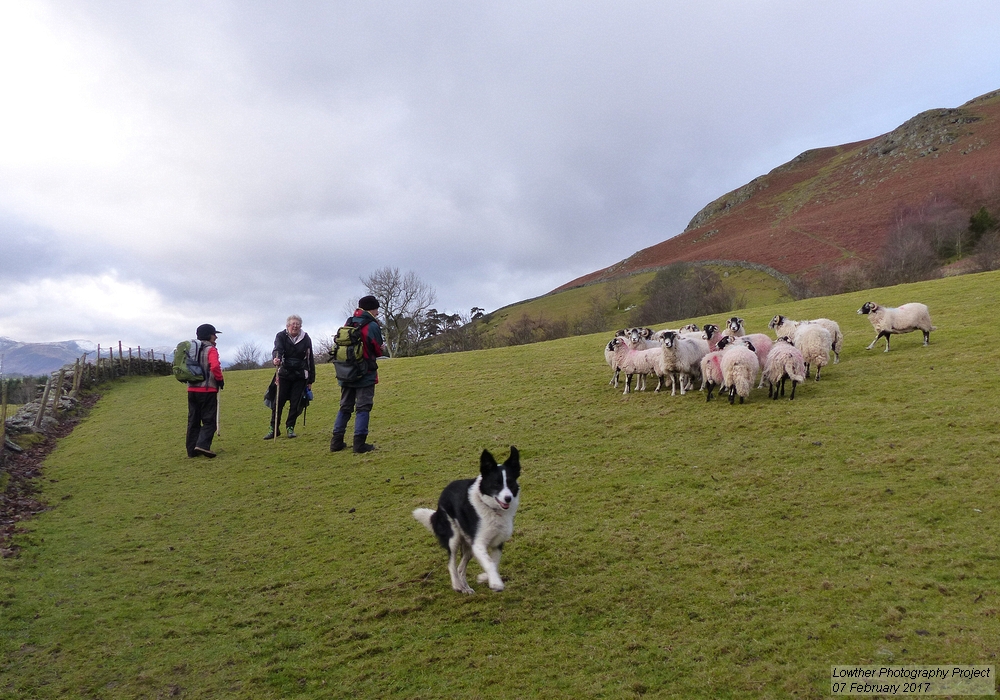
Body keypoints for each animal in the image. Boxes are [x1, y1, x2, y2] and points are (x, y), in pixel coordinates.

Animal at [414, 446, 524, 592]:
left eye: (511, 483)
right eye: (496, 484)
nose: (508, 498)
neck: (492, 508)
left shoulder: (497, 543)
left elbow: (493, 562)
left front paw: (484, 577)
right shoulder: (478, 543)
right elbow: (489, 563)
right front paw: (496, 583)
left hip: (468, 545)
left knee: (460, 568)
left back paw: (465, 588)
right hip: (453, 538)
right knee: (451, 563)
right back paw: (456, 585)